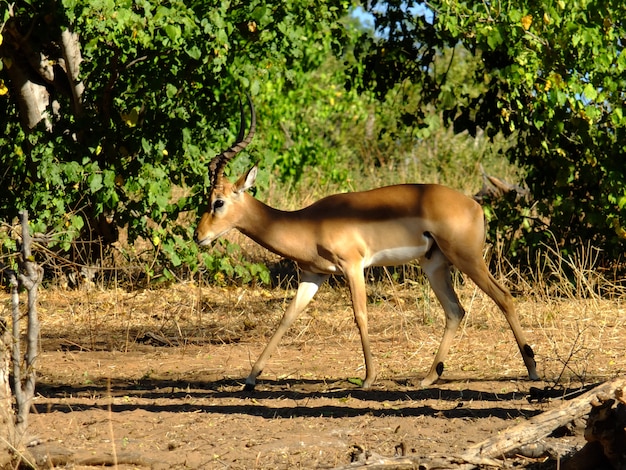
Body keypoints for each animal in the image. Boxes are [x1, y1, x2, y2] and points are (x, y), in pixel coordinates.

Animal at [195, 95, 536, 390]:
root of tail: (474, 205)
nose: (199, 237)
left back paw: (532, 369)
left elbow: (360, 315)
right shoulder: (313, 274)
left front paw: (369, 378)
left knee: (504, 297)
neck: (308, 223)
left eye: (218, 202)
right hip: (435, 265)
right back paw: (428, 377)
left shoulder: (353, 266)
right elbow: (287, 317)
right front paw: (251, 378)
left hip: (468, 259)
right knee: (455, 311)